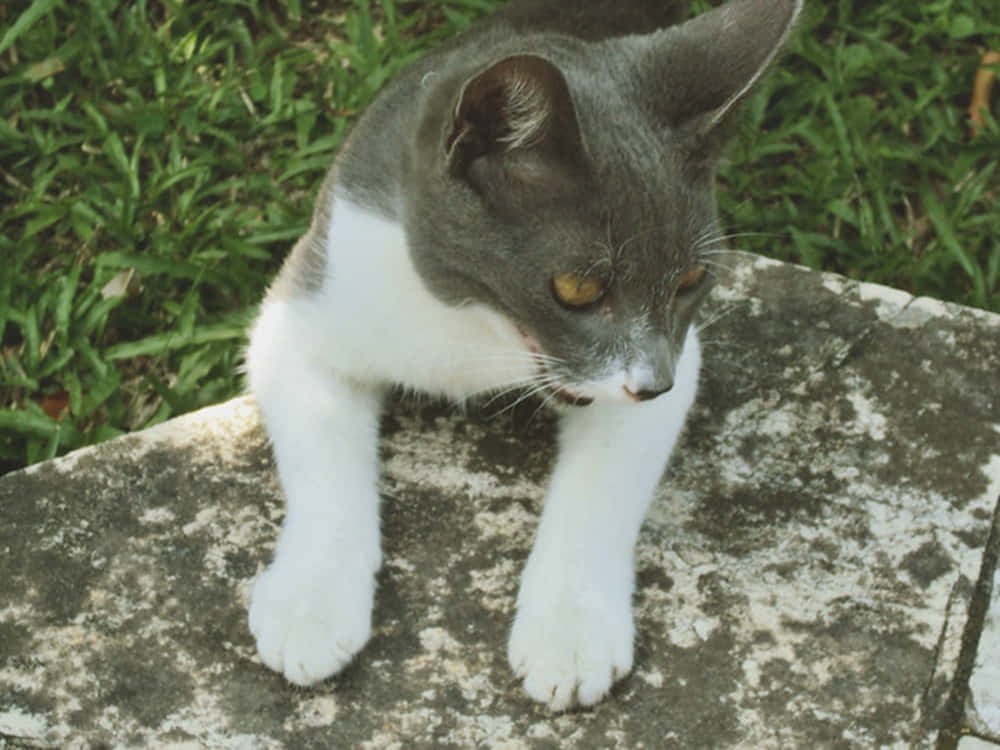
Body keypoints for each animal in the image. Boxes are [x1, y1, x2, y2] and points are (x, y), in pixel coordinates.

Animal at [244, 0, 804, 712]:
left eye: (691, 281)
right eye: (578, 288)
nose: (654, 383)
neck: (473, 327)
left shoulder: (675, 357)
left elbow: (601, 488)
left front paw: (570, 636)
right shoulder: (308, 301)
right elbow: (320, 453)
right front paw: (310, 608)